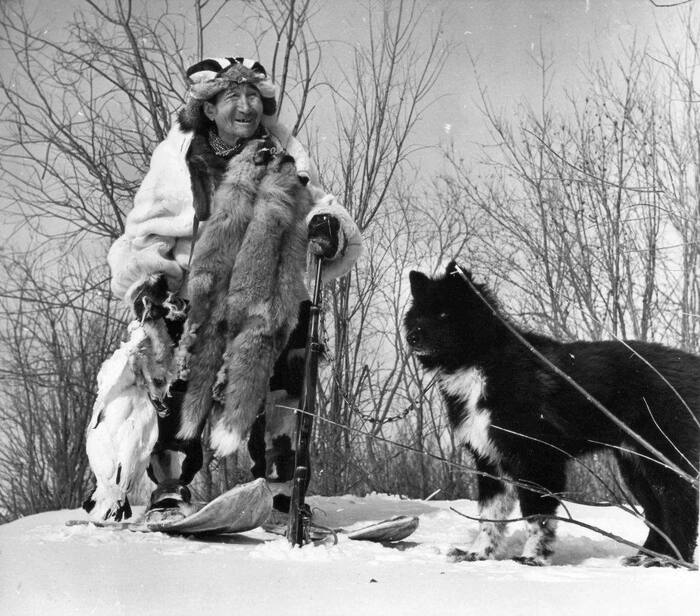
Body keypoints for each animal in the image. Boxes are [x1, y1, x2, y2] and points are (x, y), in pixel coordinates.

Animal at [404, 262, 700, 564]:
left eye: (443, 313)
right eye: (418, 315)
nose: (412, 337)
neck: (482, 363)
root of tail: (690, 362)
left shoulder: (538, 460)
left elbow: (537, 517)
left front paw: (533, 558)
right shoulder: (490, 461)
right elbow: (489, 517)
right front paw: (478, 554)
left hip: (663, 458)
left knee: (680, 507)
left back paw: (670, 561)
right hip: (635, 464)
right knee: (657, 512)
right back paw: (647, 557)